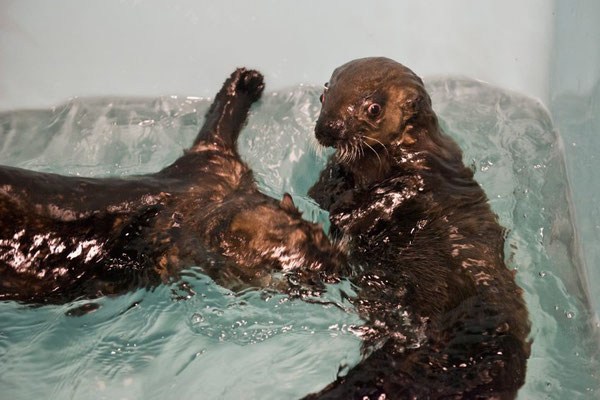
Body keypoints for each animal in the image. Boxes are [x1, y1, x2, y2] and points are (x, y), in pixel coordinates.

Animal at [0, 69, 346, 304]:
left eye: (316, 233)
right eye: (279, 267)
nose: (333, 267)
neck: (194, 205)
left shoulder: (220, 168)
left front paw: (246, 81)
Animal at [304, 57, 528, 398]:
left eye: (373, 109)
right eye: (322, 97)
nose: (329, 129)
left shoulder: (421, 176)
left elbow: (395, 196)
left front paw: (350, 213)